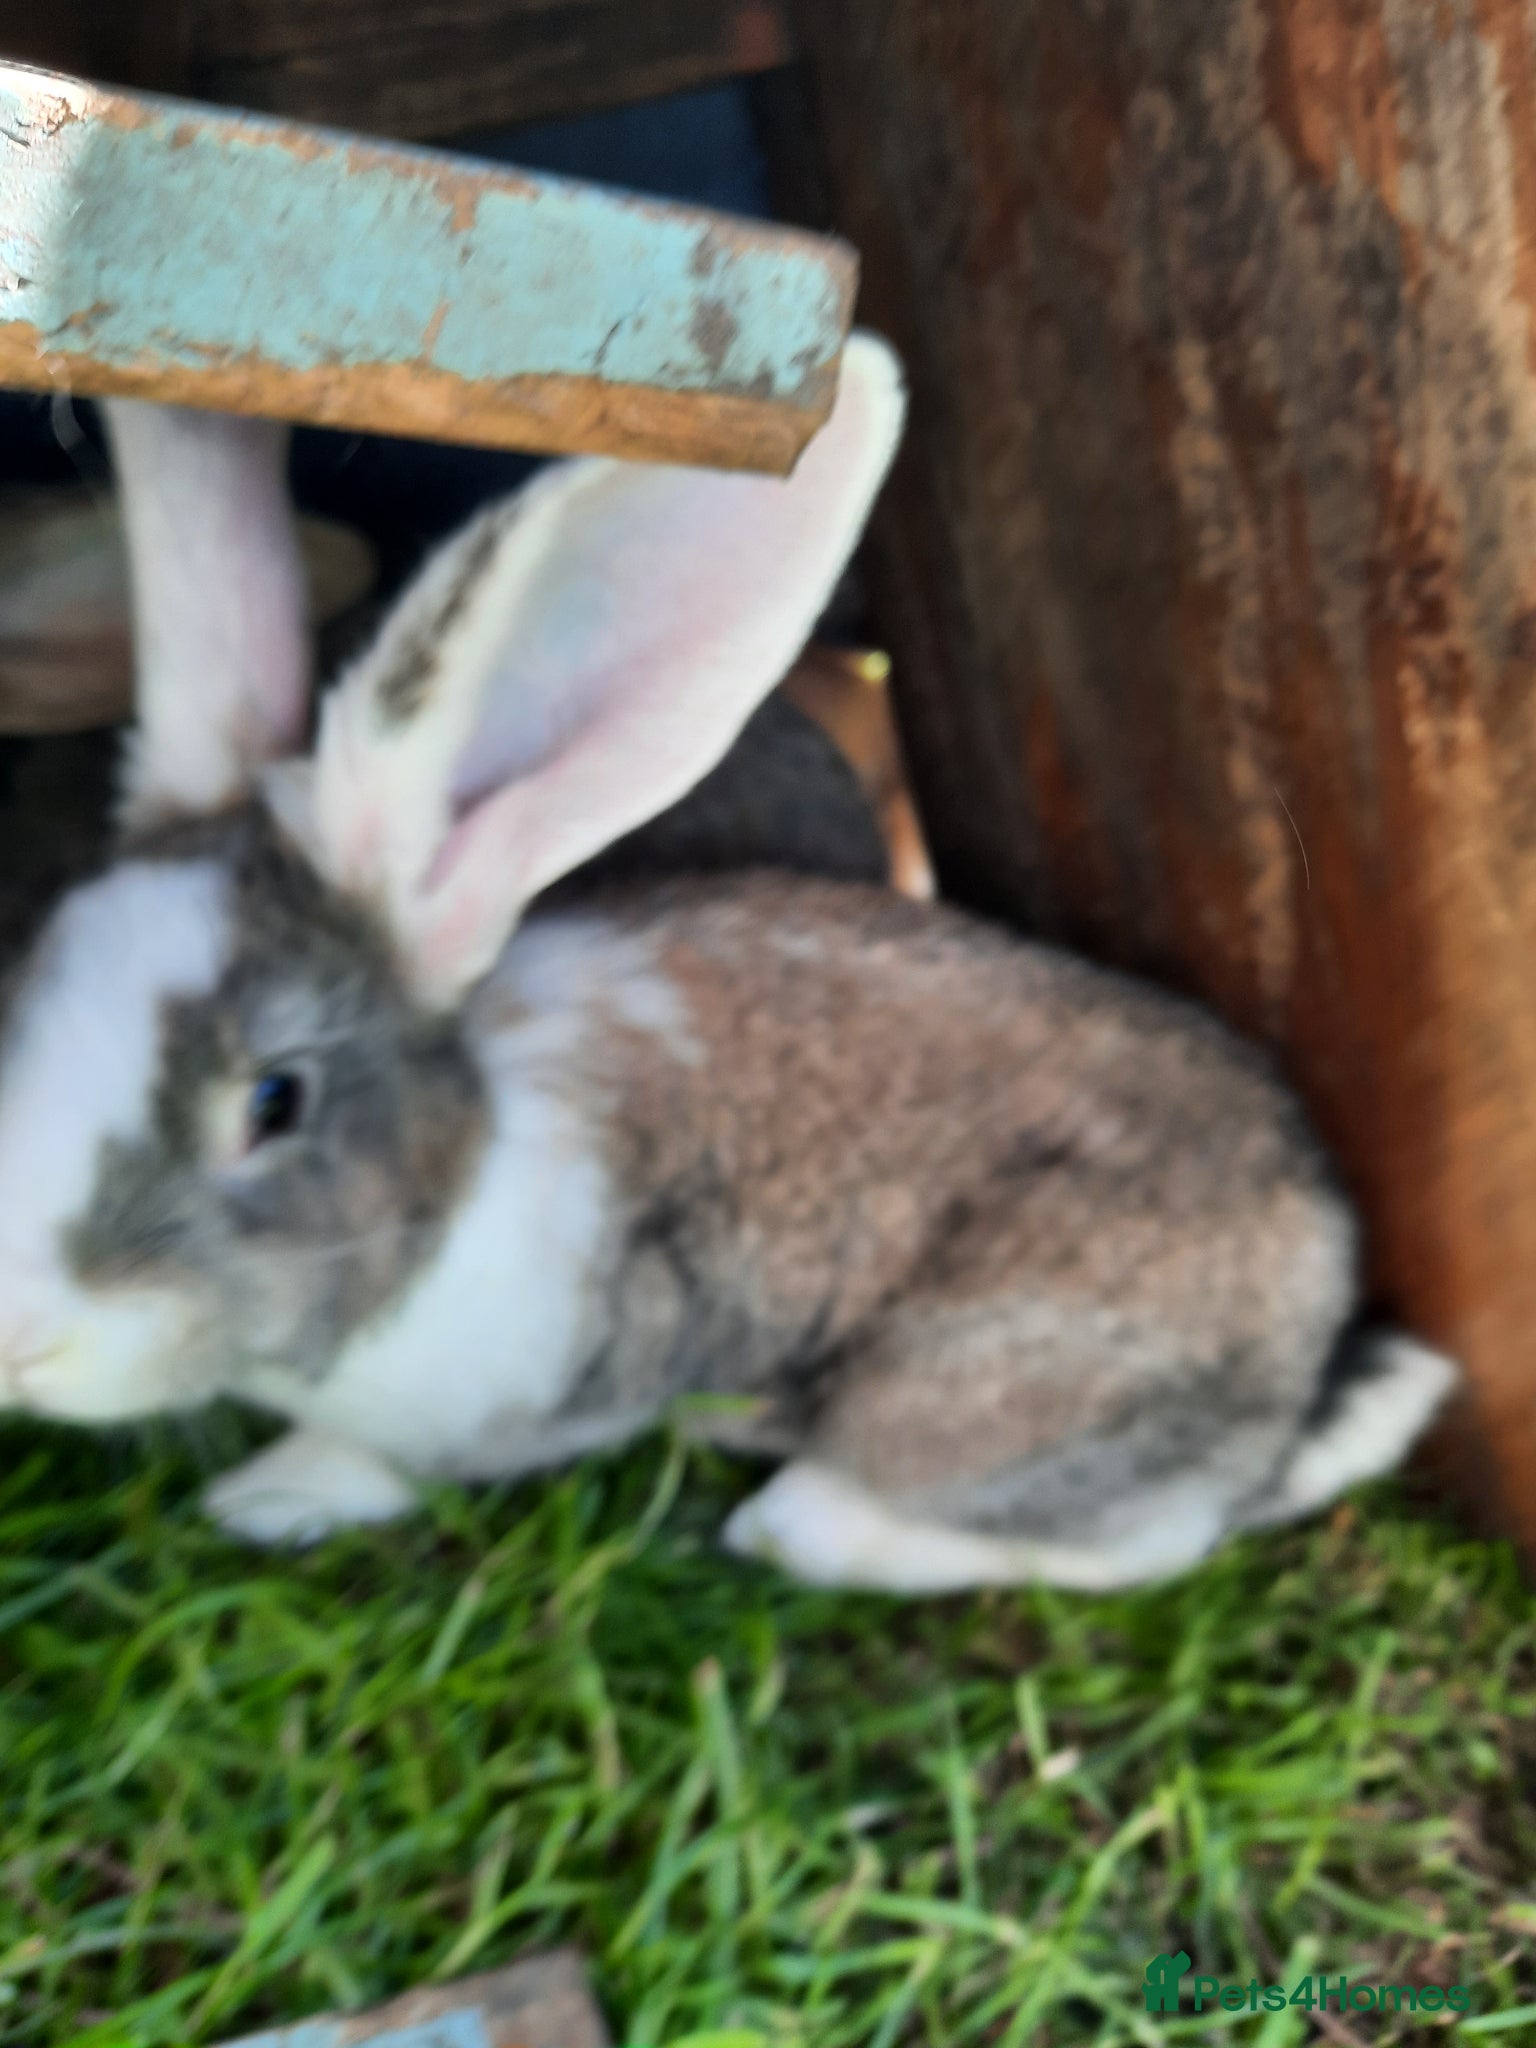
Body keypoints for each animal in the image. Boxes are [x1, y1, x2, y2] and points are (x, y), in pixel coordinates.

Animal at [0, 335, 1456, 1589]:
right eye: (23, 989)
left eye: (272, 1101)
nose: (20, 1340)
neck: (462, 1181)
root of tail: (1317, 1336)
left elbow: (387, 1459)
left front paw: (272, 1496)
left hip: (979, 1392)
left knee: (1131, 1533)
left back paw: (795, 1511)